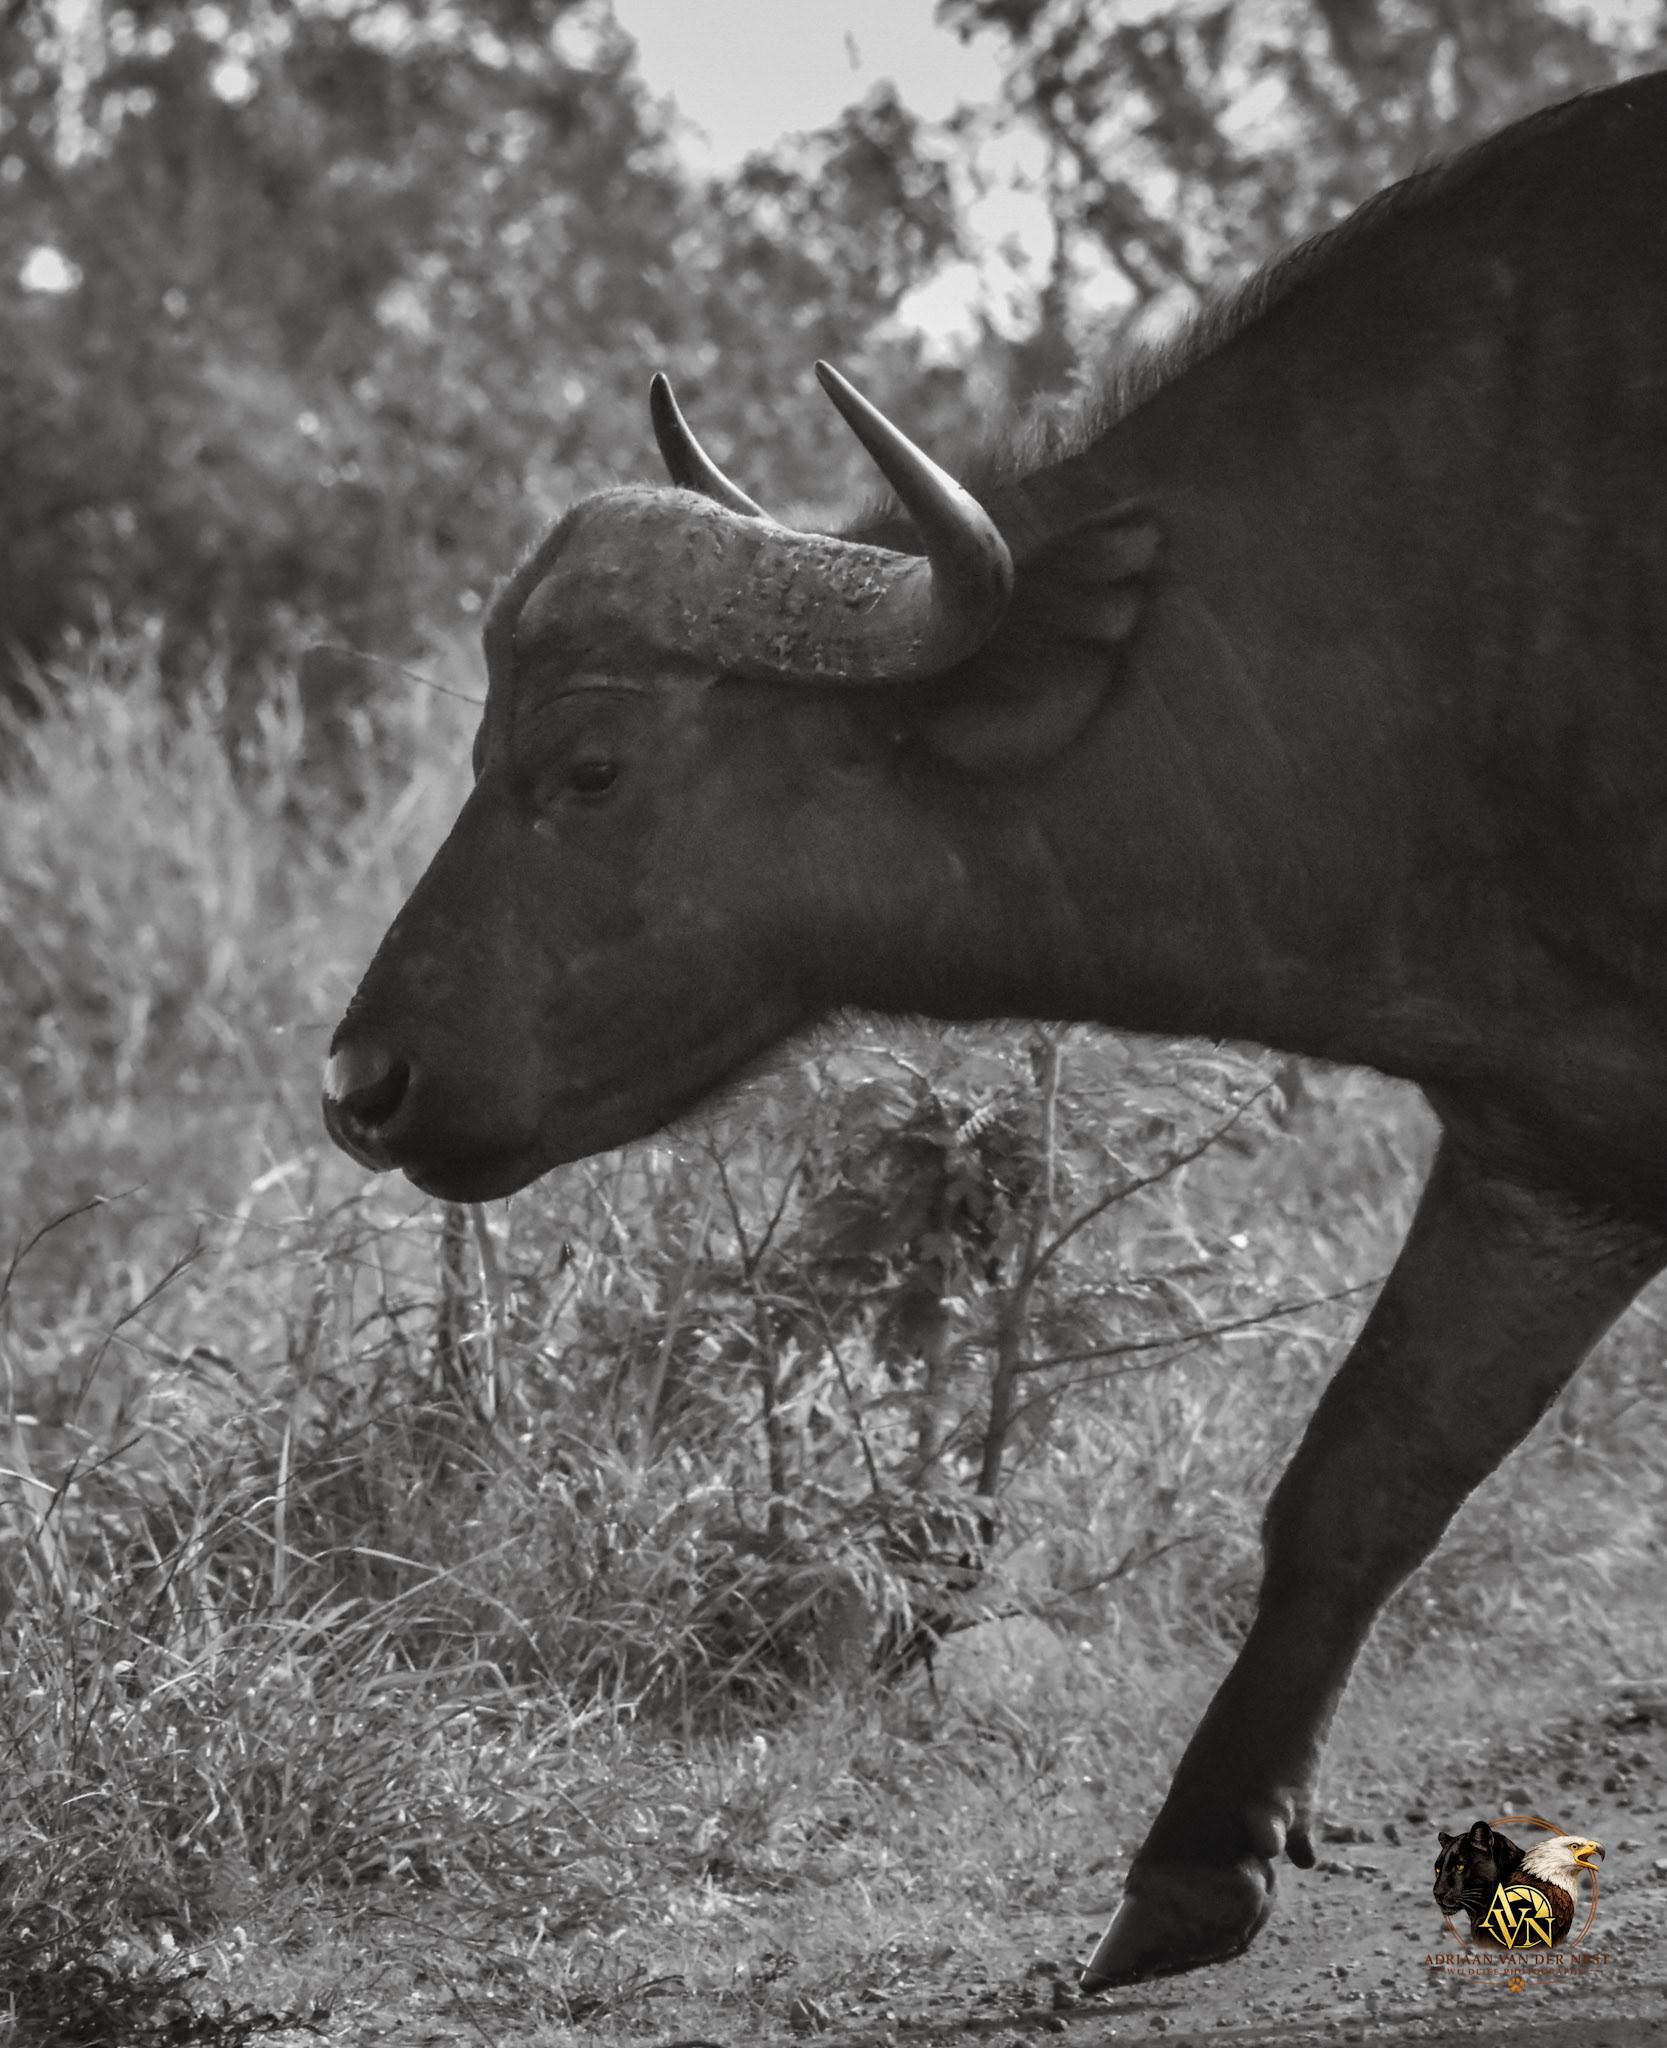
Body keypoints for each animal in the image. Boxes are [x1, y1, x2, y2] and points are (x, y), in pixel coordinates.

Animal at [324, 75, 1667, 1985]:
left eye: (585, 765)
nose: (365, 1080)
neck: (1468, 609)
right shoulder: (1555, 1143)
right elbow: (1359, 1479)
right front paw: (1190, 1865)